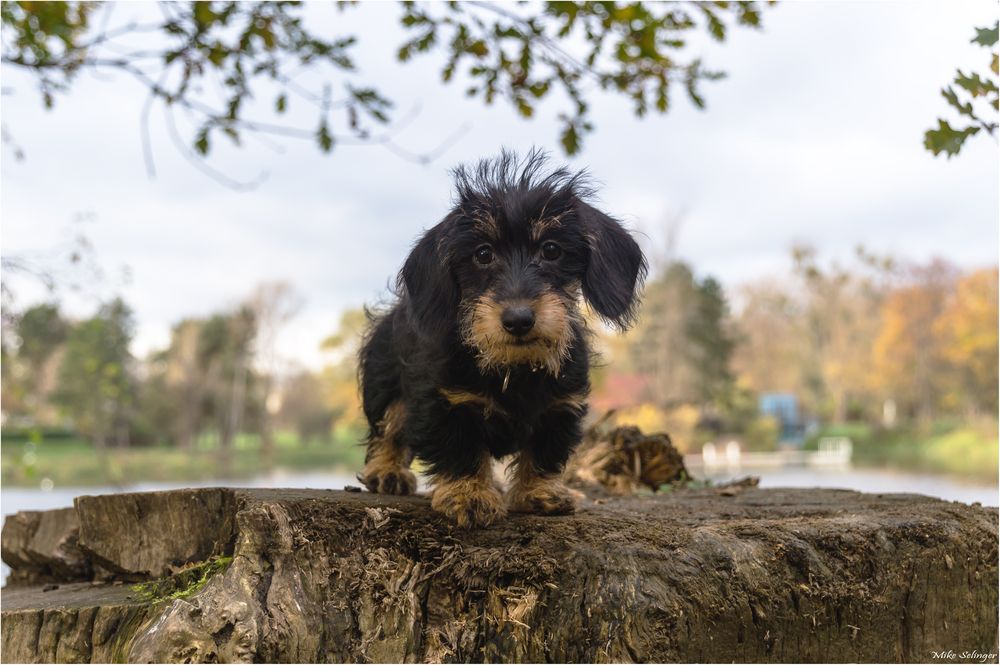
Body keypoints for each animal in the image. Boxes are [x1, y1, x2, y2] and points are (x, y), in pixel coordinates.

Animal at [356, 152, 644, 528]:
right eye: (482, 254)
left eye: (551, 250)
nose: (518, 319)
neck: (515, 367)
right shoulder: (446, 403)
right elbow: (459, 449)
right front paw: (469, 495)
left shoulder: (559, 406)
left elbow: (545, 451)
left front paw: (540, 493)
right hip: (384, 385)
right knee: (387, 429)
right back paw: (387, 472)